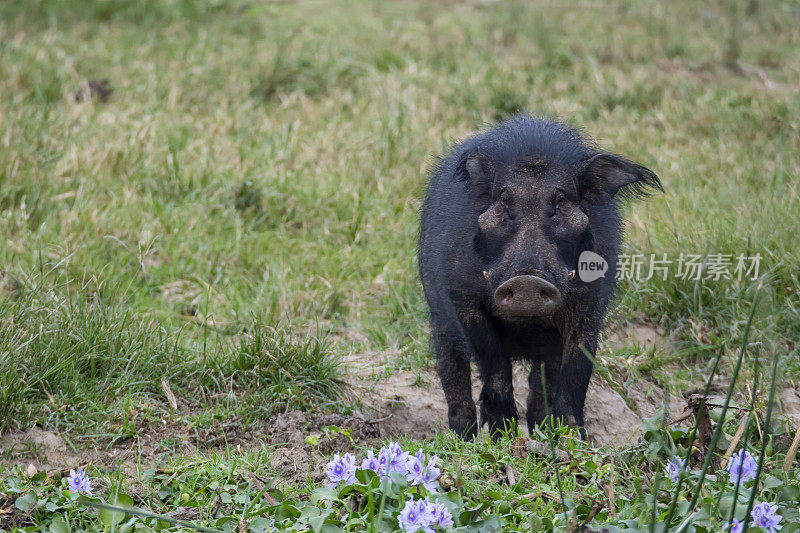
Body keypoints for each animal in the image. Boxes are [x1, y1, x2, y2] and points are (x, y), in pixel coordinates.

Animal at [418, 115, 664, 436]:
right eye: (504, 200)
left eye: (560, 201)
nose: (527, 280)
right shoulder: (463, 300)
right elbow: (495, 365)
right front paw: (504, 434)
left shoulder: (589, 305)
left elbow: (577, 373)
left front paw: (572, 437)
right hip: (440, 322)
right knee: (454, 377)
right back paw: (465, 438)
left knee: (541, 385)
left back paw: (542, 431)